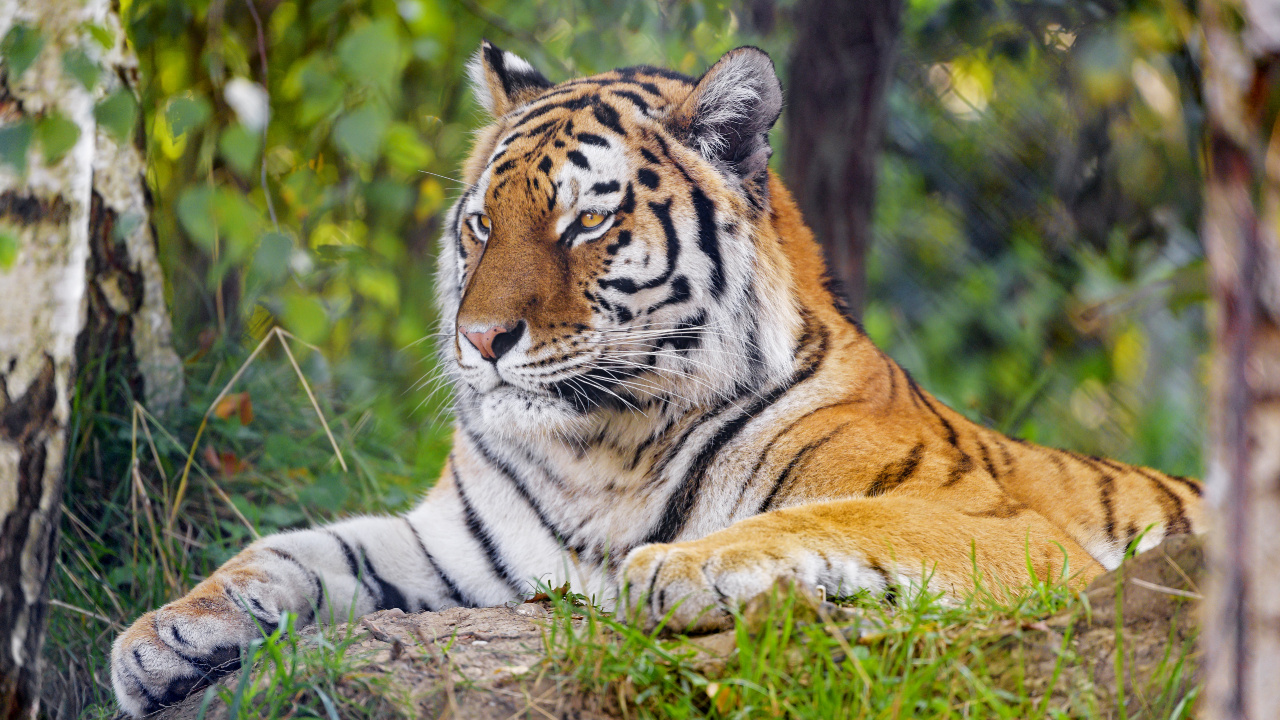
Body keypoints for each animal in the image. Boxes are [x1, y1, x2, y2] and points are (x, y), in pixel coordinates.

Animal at [110, 42, 1204, 716]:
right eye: (482, 225)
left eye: (585, 221)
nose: (479, 339)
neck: (598, 446)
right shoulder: (458, 549)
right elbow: (294, 550)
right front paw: (158, 637)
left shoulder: (1004, 526)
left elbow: (840, 515)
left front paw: (673, 568)